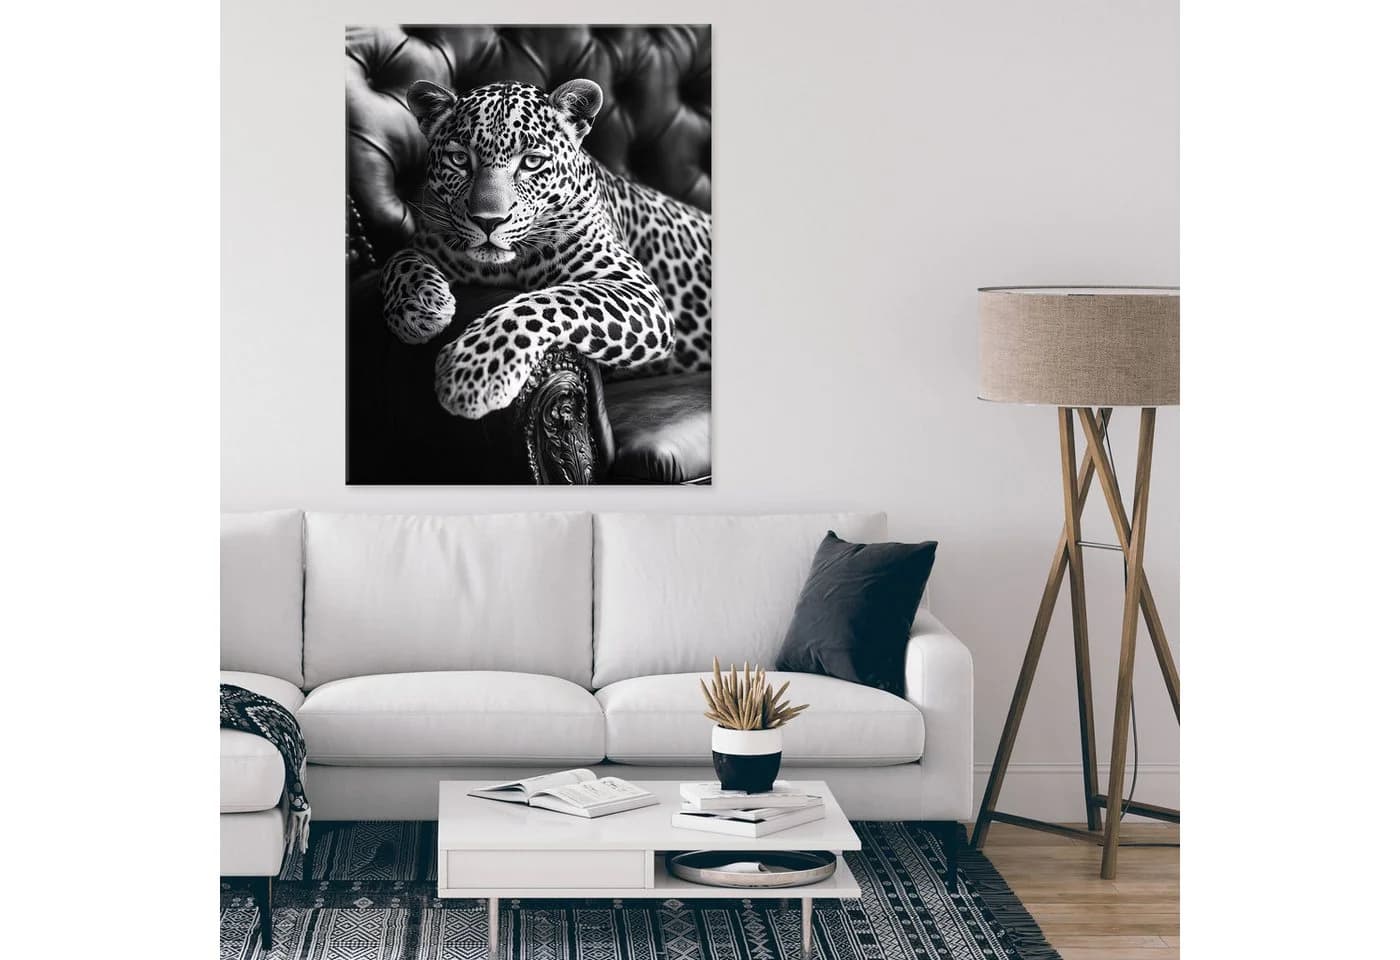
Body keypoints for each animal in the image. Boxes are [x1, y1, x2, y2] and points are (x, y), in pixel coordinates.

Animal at [380, 77, 712, 420]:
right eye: (459, 160)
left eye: (531, 162)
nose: (488, 221)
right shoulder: (429, 240)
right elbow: (398, 258)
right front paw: (419, 305)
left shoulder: (636, 289)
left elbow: (547, 301)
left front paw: (472, 373)